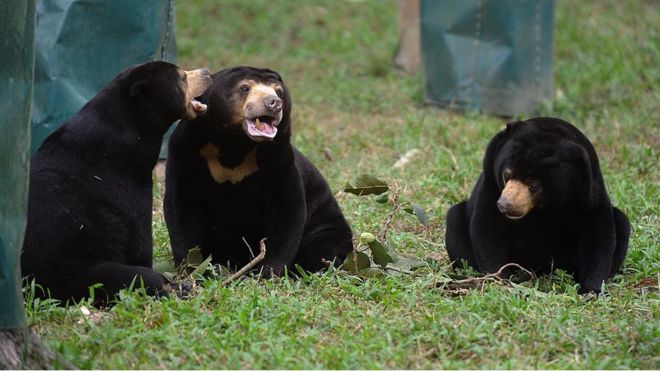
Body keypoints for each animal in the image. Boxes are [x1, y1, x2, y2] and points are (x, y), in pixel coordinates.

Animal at [21, 61, 211, 306]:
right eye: (182, 78)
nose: (207, 72)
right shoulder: (128, 183)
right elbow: (139, 242)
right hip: (83, 273)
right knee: (137, 277)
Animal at [163, 67, 354, 278]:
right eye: (245, 88)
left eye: (278, 91)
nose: (274, 103)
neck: (235, 143)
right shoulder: (186, 153)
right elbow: (182, 207)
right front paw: (191, 269)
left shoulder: (279, 159)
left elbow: (286, 210)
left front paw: (267, 273)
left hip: (325, 224)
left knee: (325, 249)